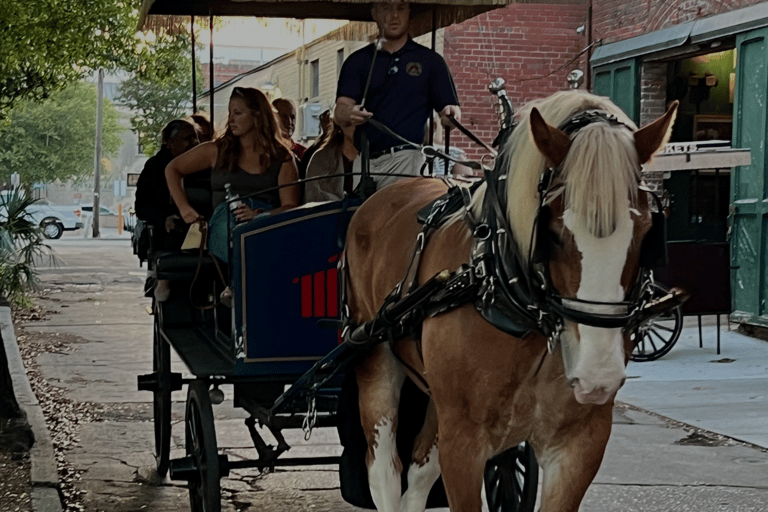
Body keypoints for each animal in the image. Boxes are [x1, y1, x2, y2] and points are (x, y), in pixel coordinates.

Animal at [342, 92, 680, 512]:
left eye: (648, 232)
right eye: (552, 233)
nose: (597, 372)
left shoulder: (579, 444)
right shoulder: (464, 443)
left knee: (419, 471)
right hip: (374, 358)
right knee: (385, 471)